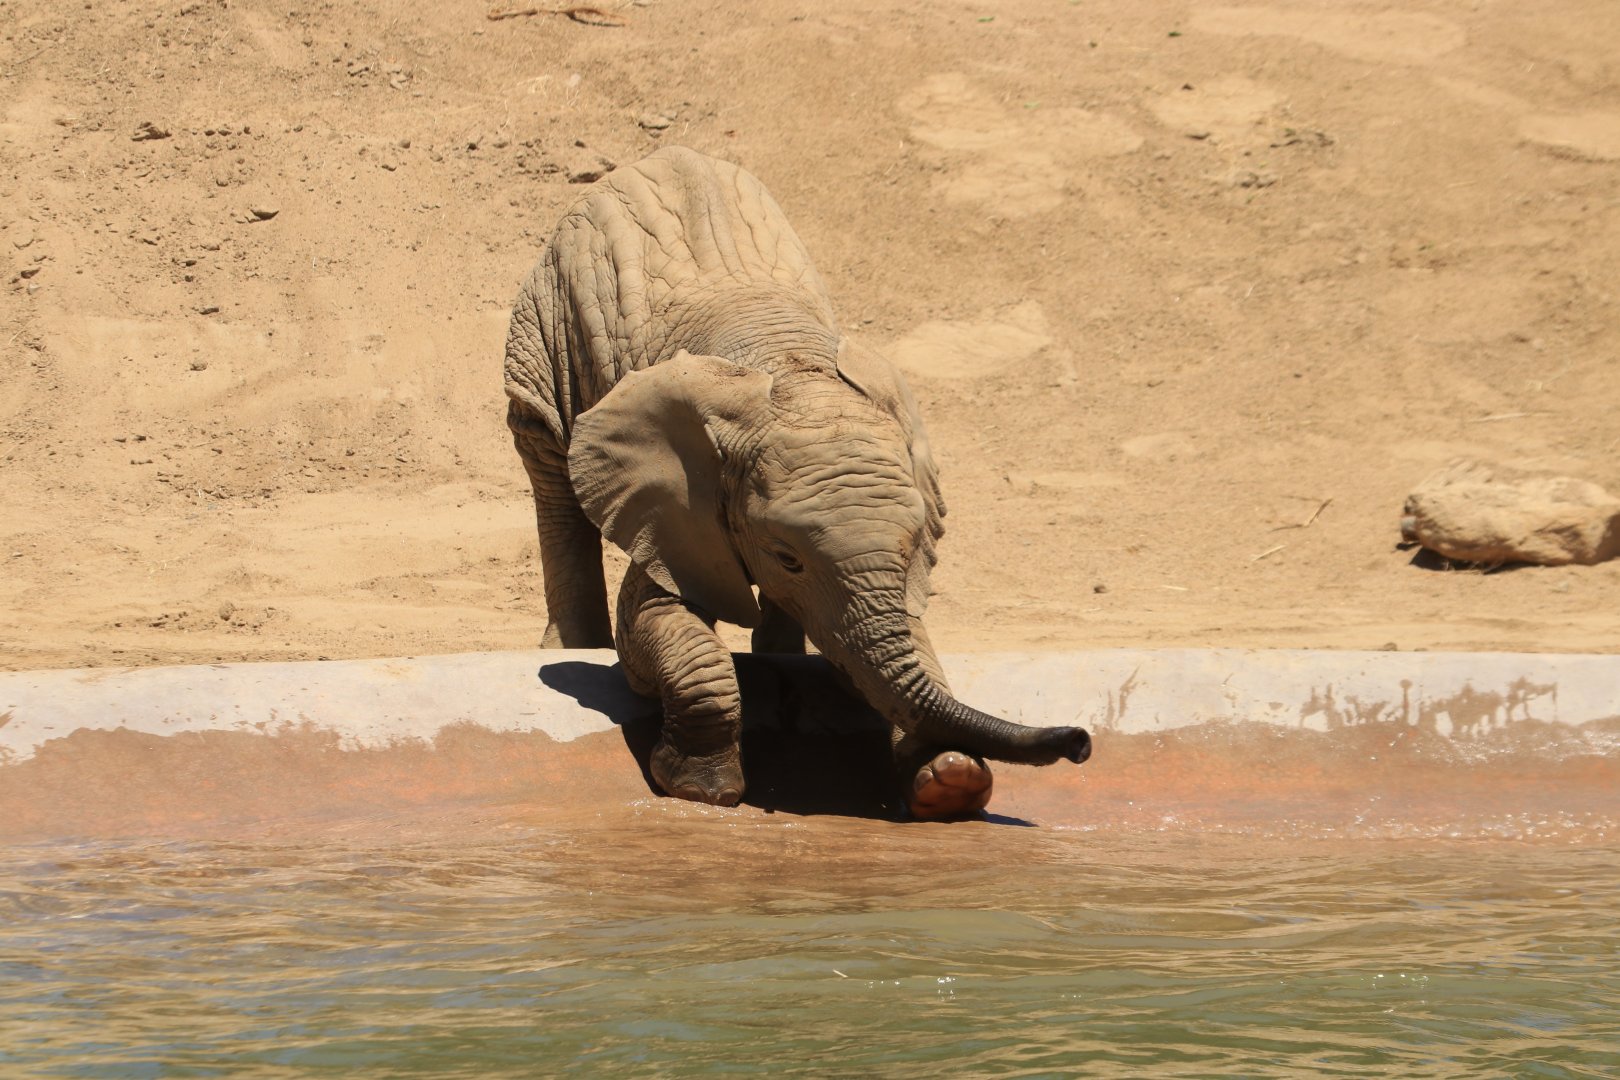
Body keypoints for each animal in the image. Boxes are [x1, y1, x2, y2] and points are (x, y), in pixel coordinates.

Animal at [503, 146, 1089, 819]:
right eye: (787, 557)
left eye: (913, 549)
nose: (1082, 741)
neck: (789, 369)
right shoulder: (677, 506)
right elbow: (654, 618)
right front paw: (702, 790)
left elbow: (911, 640)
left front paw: (952, 783)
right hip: (543, 325)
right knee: (549, 470)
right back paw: (572, 648)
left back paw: (782, 658)